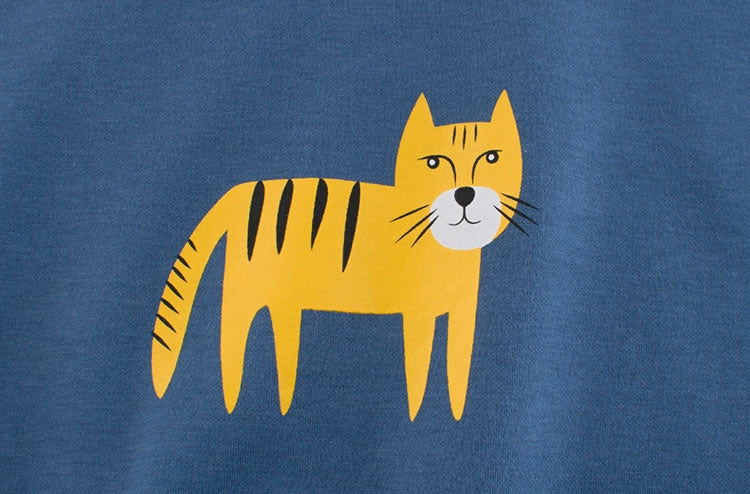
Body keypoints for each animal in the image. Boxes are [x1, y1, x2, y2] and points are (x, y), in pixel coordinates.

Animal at [151, 91, 534, 421]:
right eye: (433, 163)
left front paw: (454, 411)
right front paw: (417, 411)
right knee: (231, 338)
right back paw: (233, 397)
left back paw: (284, 400)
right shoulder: (418, 315)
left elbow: (457, 371)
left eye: (492, 158)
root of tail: (238, 191)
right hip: (243, 292)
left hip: (284, 299)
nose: (464, 193)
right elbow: (418, 372)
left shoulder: (463, 315)